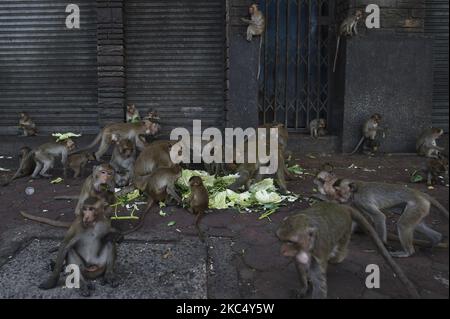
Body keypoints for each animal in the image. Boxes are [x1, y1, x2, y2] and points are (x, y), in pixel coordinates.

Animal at [276, 202, 420, 300]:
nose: (282, 250)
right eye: (281, 240)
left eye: (290, 242)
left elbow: (319, 281)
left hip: (345, 231)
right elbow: (300, 266)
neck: (307, 245)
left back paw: (337, 257)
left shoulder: (319, 250)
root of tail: (341, 207)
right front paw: (303, 287)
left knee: (339, 252)